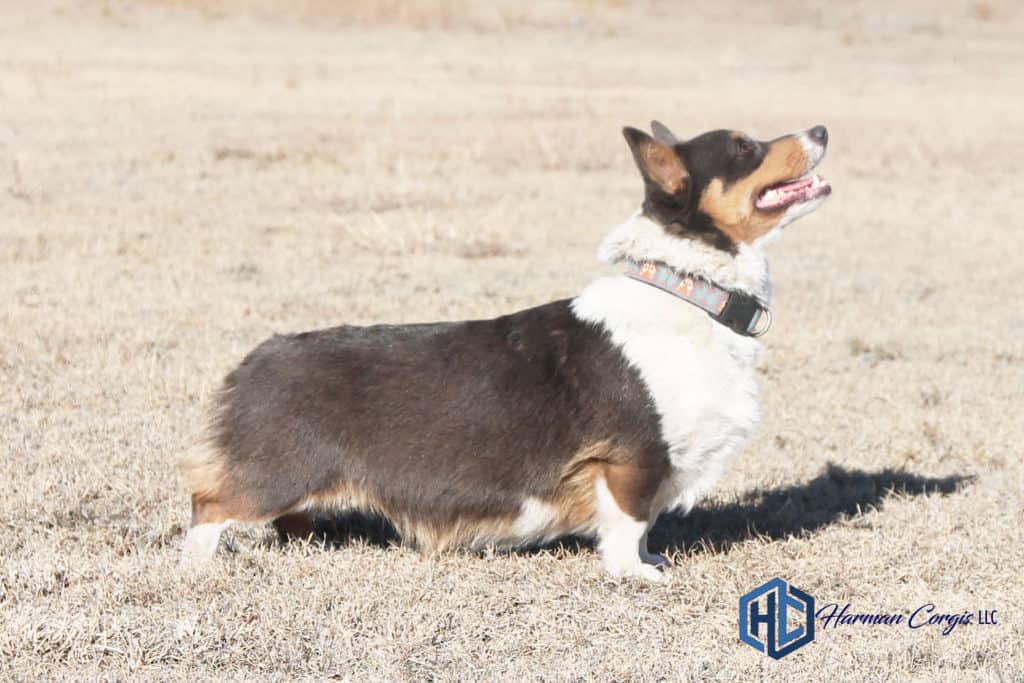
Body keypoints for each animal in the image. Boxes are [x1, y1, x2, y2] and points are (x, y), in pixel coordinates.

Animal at [178, 120, 831, 581]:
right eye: (744, 147)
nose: (822, 131)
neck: (689, 292)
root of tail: (255, 358)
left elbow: (642, 528)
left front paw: (652, 562)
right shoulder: (633, 457)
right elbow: (629, 523)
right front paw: (637, 575)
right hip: (276, 472)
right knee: (209, 504)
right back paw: (197, 565)